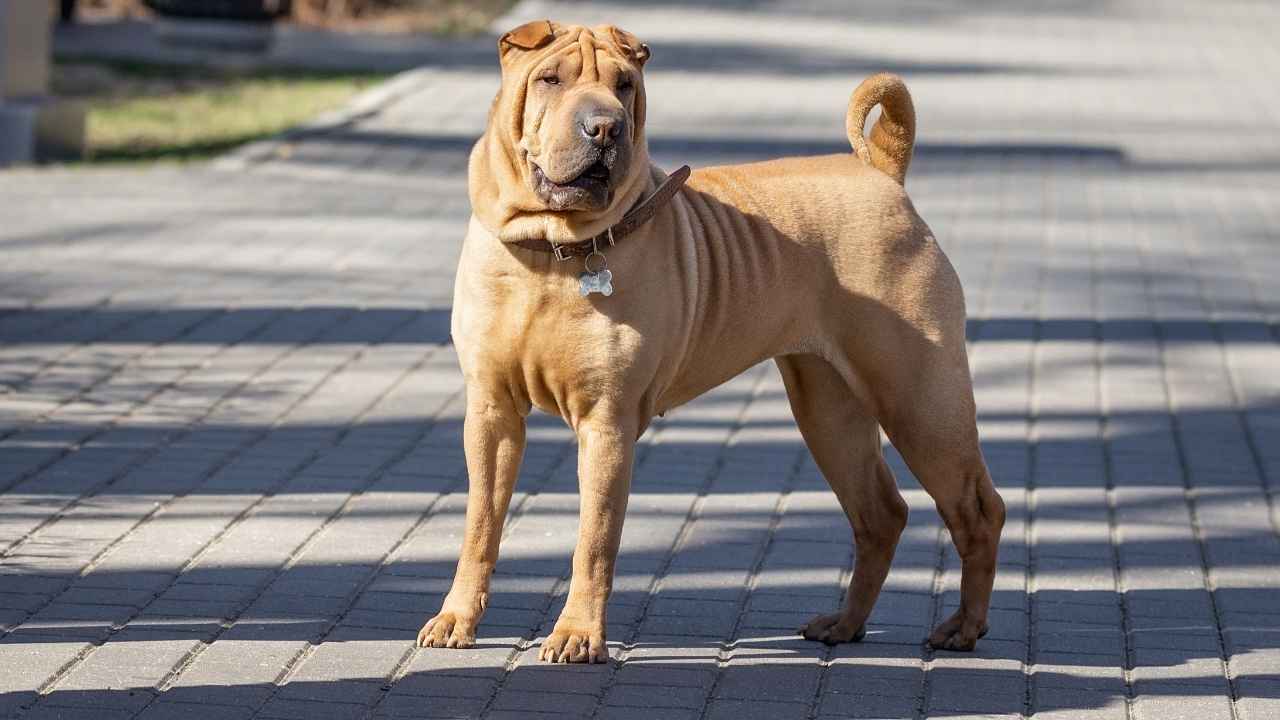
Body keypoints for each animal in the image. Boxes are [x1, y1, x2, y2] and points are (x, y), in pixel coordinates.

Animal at [414, 19, 1003, 661]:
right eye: (550, 79)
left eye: (624, 85)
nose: (605, 127)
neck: (552, 251)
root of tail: (881, 173)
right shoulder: (491, 413)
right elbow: (480, 525)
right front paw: (455, 619)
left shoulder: (606, 421)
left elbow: (593, 540)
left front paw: (576, 635)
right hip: (829, 410)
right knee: (881, 514)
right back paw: (845, 624)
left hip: (919, 401)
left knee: (978, 510)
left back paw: (963, 627)